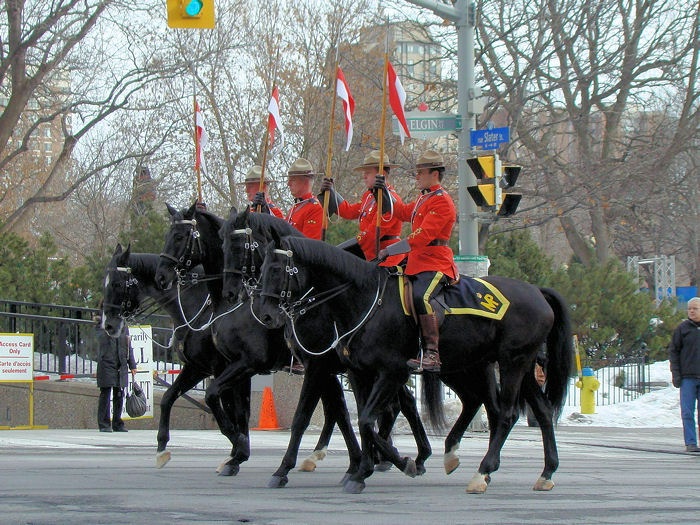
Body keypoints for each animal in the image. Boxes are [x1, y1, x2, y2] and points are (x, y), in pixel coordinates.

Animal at [100, 244, 250, 472]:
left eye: (117, 283)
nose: (108, 325)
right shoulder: (198, 367)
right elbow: (168, 397)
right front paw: (161, 447)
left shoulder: (225, 368)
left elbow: (235, 412)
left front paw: (237, 450)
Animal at [221, 207, 434, 482]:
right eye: (222, 245)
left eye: (239, 246)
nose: (230, 293)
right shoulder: (329, 369)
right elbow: (339, 412)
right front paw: (356, 462)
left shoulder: (319, 365)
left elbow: (319, 414)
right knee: (400, 403)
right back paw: (405, 457)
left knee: (396, 405)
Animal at [254, 231, 572, 494]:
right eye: (261, 267)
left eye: (276, 269)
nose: (266, 314)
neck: (364, 300)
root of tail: (536, 291)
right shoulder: (357, 372)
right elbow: (345, 419)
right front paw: (362, 468)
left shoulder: (385, 371)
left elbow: (365, 419)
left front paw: (391, 462)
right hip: (507, 365)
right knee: (538, 410)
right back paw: (544, 472)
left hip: (510, 363)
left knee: (505, 412)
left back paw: (482, 472)